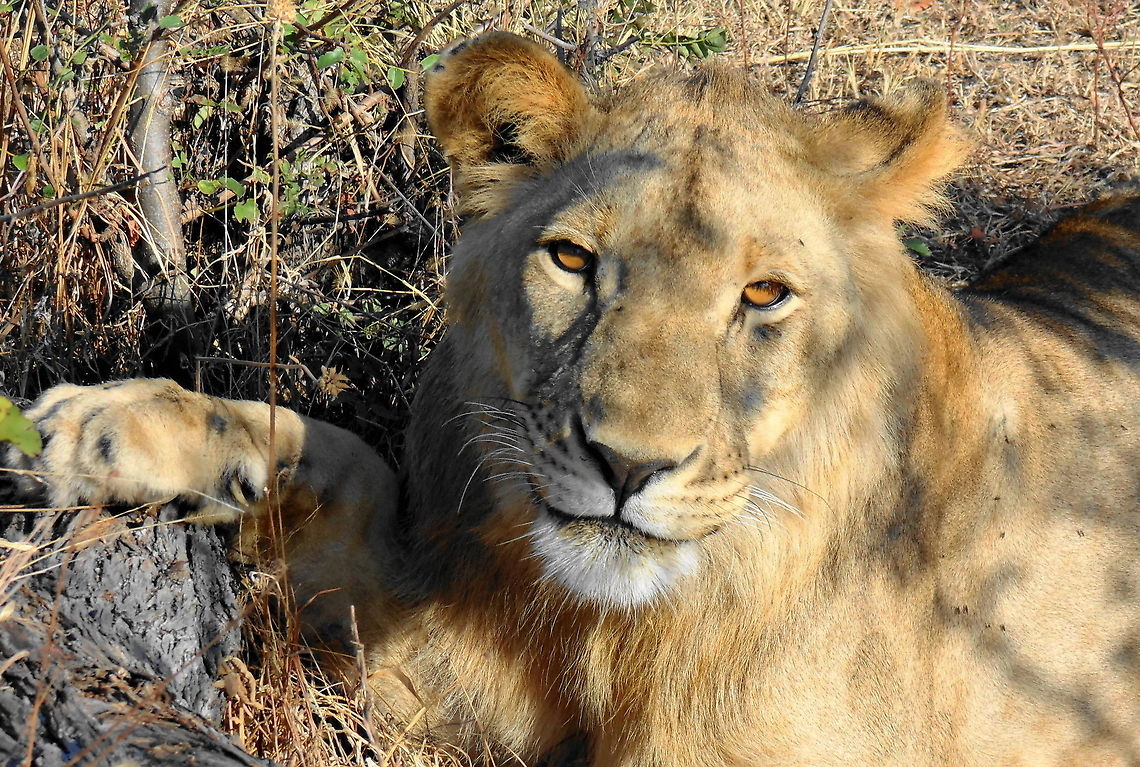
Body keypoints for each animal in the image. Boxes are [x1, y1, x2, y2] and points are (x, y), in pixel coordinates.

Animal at [6, 32, 1140, 766]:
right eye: (573, 259)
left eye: (762, 294)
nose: (628, 465)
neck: (619, 632)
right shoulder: (434, 675)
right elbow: (342, 458)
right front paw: (102, 427)